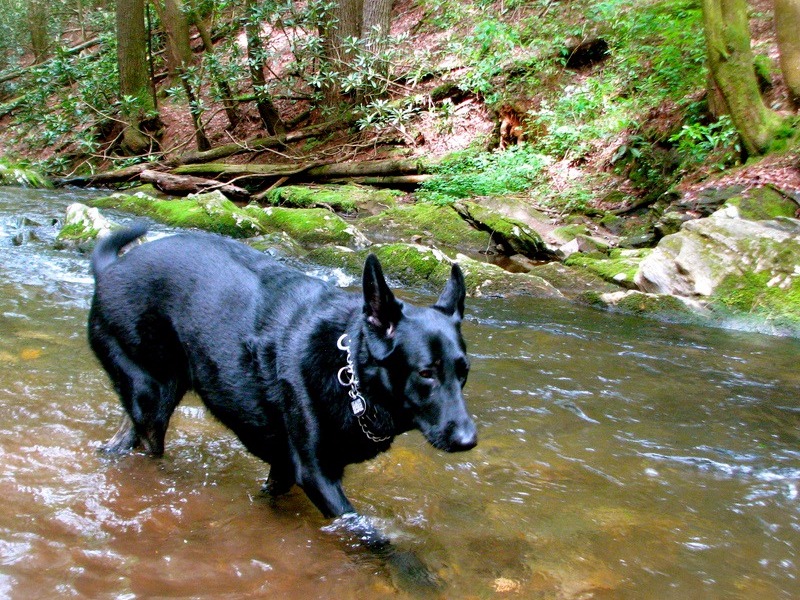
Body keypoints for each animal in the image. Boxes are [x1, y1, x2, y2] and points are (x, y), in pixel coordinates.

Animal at [89, 227, 476, 552]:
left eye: (464, 372)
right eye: (426, 373)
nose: (468, 440)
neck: (349, 375)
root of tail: (109, 269)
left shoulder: (285, 468)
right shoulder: (316, 474)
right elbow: (371, 537)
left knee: (122, 441)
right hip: (151, 399)